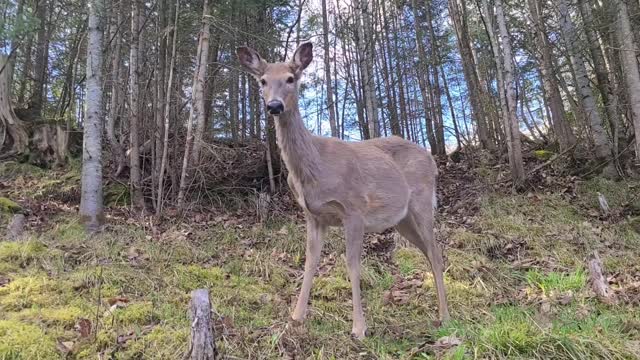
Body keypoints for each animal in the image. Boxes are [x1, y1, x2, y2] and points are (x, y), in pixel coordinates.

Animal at [236, 41, 450, 338]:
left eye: (291, 78)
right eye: (263, 81)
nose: (274, 105)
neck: (315, 168)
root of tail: (431, 159)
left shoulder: (354, 208)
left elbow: (352, 263)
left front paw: (359, 328)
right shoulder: (313, 215)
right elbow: (311, 260)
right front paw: (296, 317)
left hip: (421, 202)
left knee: (436, 252)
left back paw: (445, 316)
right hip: (402, 219)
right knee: (428, 252)